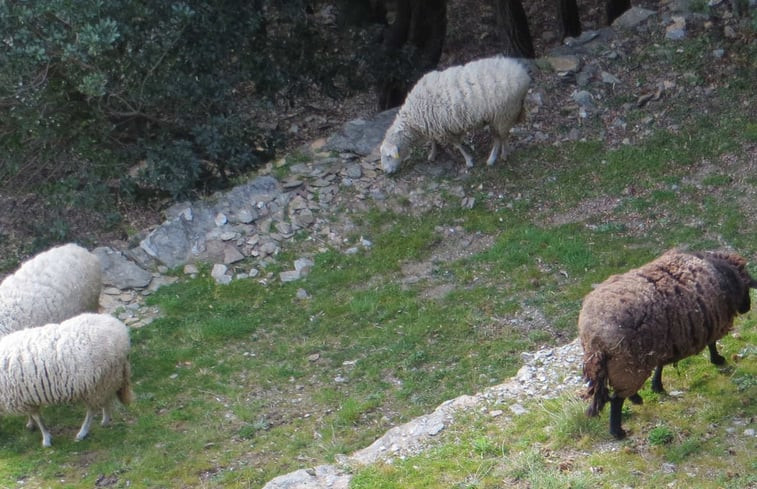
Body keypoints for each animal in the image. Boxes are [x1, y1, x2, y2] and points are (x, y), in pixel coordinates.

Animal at [0, 312, 133, 446]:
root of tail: (121, 330)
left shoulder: (23, 397)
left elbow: (38, 418)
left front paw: (46, 438)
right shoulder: (27, 397)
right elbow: (35, 416)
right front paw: (33, 425)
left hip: (97, 383)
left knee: (92, 410)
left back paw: (83, 432)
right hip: (105, 379)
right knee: (106, 400)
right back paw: (105, 420)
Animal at [378, 55, 532, 173]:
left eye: (389, 156)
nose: (386, 172)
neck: (413, 118)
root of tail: (523, 74)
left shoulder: (445, 129)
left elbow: (457, 145)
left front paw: (469, 161)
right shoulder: (433, 125)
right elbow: (433, 140)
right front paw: (432, 154)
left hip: (504, 113)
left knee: (501, 137)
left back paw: (497, 157)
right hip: (498, 116)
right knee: (501, 137)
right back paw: (499, 155)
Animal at [576, 250, 752, 436]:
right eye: (747, 284)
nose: (747, 308)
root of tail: (594, 338)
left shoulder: (667, 340)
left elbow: (660, 365)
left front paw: (657, 385)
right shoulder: (710, 322)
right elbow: (712, 343)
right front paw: (717, 359)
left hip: (625, 365)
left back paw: (635, 399)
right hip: (627, 364)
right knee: (617, 399)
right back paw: (617, 431)